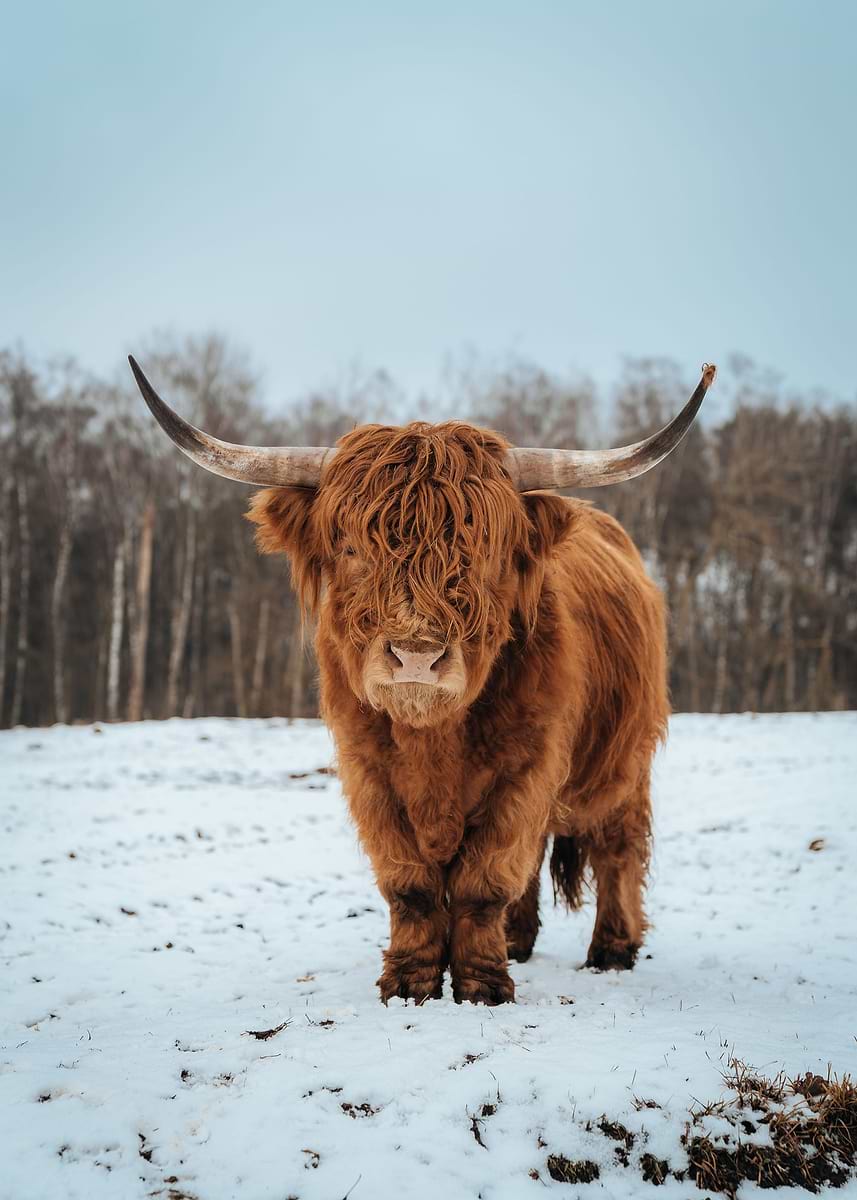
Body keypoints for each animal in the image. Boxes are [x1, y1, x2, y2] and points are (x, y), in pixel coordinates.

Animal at [130, 356, 715, 1005]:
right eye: (352, 547)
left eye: (484, 552)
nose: (415, 655)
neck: (432, 740)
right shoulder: (368, 772)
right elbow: (408, 882)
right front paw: (410, 981)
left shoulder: (526, 769)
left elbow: (486, 877)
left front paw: (483, 985)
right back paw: (519, 941)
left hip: (625, 759)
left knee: (618, 846)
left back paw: (612, 949)